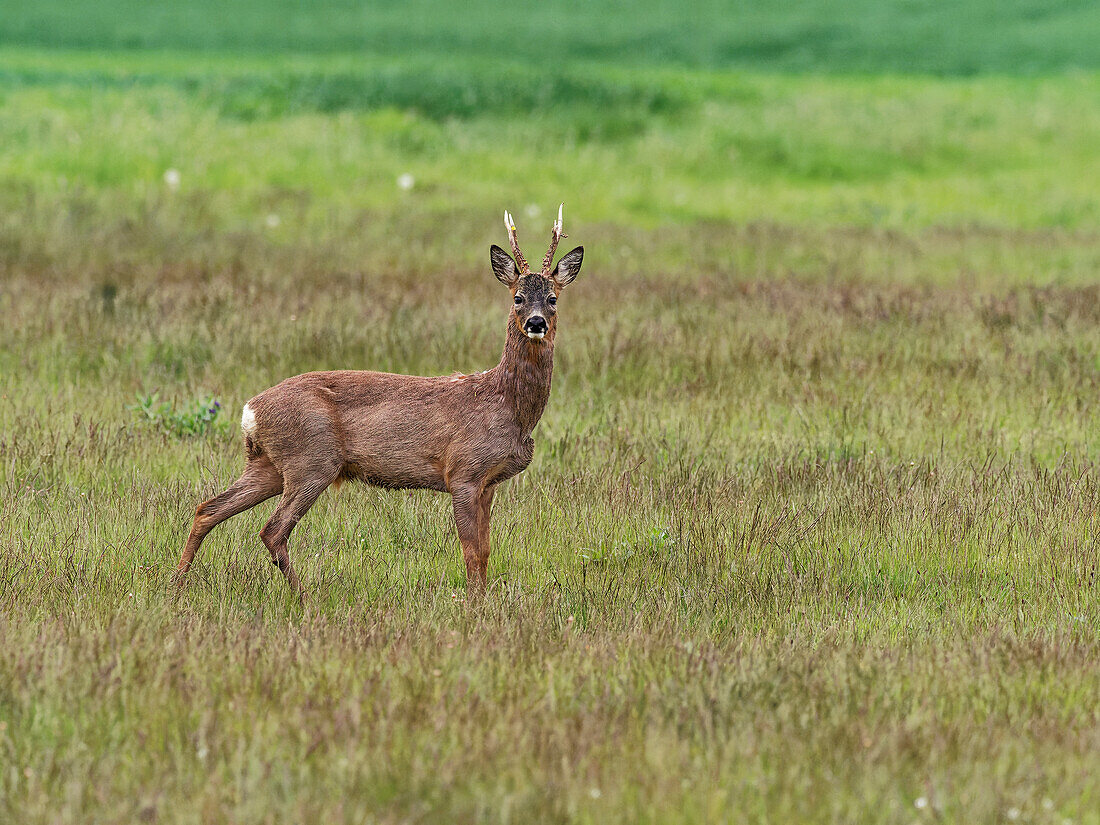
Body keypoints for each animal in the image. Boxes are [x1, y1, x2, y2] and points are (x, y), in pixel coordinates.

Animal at [174, 204, 585, 598]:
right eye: (518, 298)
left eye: (552, 298)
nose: (535, 323)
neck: (505, 405)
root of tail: (251, 411)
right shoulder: (464, 472)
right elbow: (471, 551)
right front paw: (474, 606)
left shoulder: (489, 483)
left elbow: (484, 551)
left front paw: (483, 602)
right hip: (312, 460)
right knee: (271, 530)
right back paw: (305, 598)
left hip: (270, 465)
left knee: (207, 509)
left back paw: (176, 584)